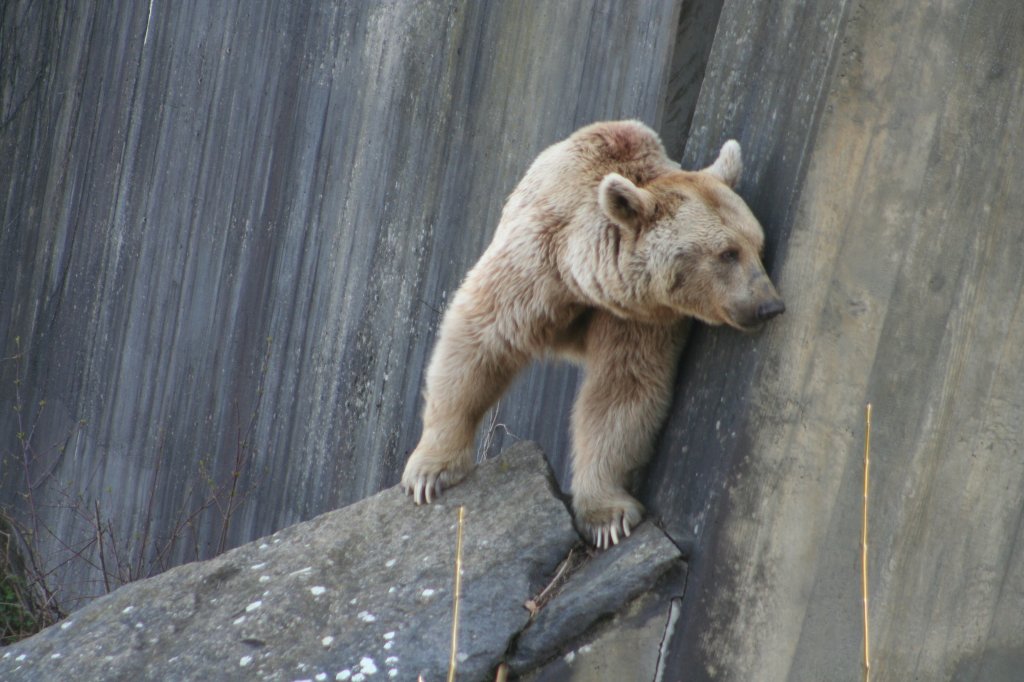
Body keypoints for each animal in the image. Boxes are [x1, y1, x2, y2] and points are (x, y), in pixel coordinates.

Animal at [399, 120, 782, 548]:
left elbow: (621, 391)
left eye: (758, 246)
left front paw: (608, 518)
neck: (583, 275)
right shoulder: (535, 265)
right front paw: (430, 472)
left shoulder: (640, 317)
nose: (770, 305)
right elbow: (480, 341)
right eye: (727, 253)